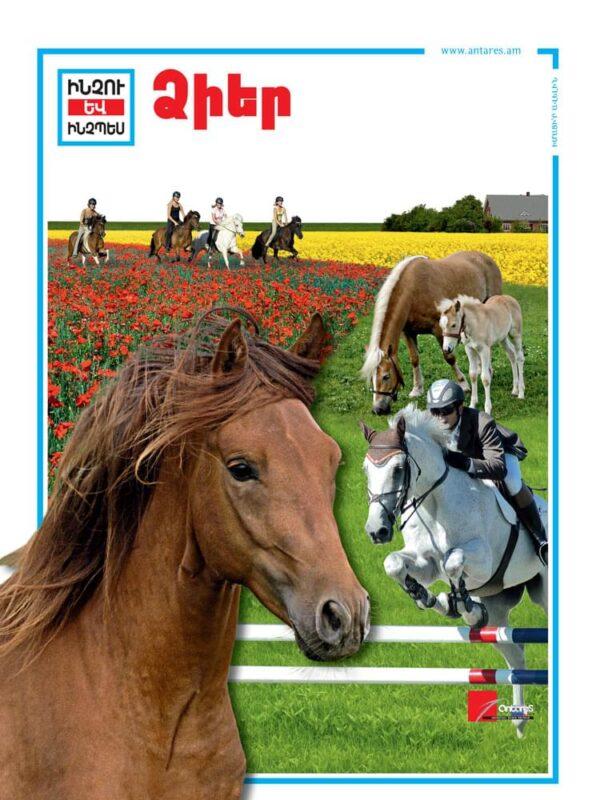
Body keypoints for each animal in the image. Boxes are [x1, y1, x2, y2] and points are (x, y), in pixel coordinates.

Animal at [360, 252, 503, 414]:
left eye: (386, 376)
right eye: (372, 378)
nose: (378, 409)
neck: (413, 290)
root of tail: (487, 258)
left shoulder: (440, 329)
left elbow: (449, 357)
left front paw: (463, 384)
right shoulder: (408, 332)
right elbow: (414, 358)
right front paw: (417, 388)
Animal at [360, 405, 547, 738]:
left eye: (398, 469)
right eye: (366, 470)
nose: (376, 531)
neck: (436, 503)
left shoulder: (483, 560)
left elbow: (453, 560)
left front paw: (461, 605)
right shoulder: (425, 562)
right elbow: (395, 564)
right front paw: (430, 599)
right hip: (497, 610)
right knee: (515, 654)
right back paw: (519, 720)